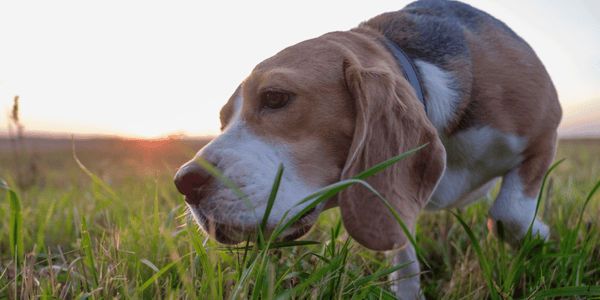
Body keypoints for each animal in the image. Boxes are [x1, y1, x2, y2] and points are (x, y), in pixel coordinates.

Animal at [172, 1, 564, 298]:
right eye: (223, 120)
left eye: (275, 98)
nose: (184, 183)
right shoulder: (396, 203)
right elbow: (403, 250)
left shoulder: (545, 131)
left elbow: (508, 214)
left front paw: (539, 239)